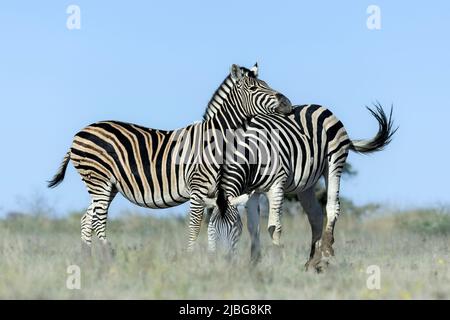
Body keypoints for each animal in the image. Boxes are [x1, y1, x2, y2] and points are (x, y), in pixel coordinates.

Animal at [48, 63, 292, 255]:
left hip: (108, 186)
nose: (288, 104)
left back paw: (88, 260)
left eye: (267, 84)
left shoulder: (216, 193)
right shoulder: (197, 189)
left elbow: (213, 225)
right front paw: (191, 257)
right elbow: (194, 226)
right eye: (253, 88)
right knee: (98, 219)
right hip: (99, 180)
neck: (216, 141)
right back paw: (109, 255)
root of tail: (79, 133)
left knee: (86, 218)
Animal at [206, 104, 396, 268]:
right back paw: (312, 261)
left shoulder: (276, 186)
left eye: (233, 227)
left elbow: (274, 227)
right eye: (211, 229)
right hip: (306, 184)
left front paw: (277, 259)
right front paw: (254, 262)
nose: (223, 261)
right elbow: (253, 227)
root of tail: (318, 106)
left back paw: (326, 251)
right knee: (316, 215)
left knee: (332, 206)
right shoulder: (251, 192)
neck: (252, 152)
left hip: (335, 162)